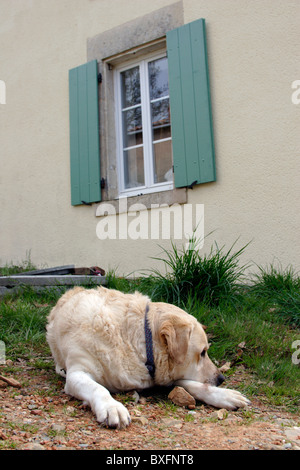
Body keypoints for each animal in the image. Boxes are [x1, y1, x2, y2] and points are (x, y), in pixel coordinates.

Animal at [45, 284, 250, 428]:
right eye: (202, 353)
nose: (221, 378)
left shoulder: (162, 374)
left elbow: (193, 384)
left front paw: (225, 395)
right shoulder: (77, 373)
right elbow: (98, 388)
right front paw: (112, 407)